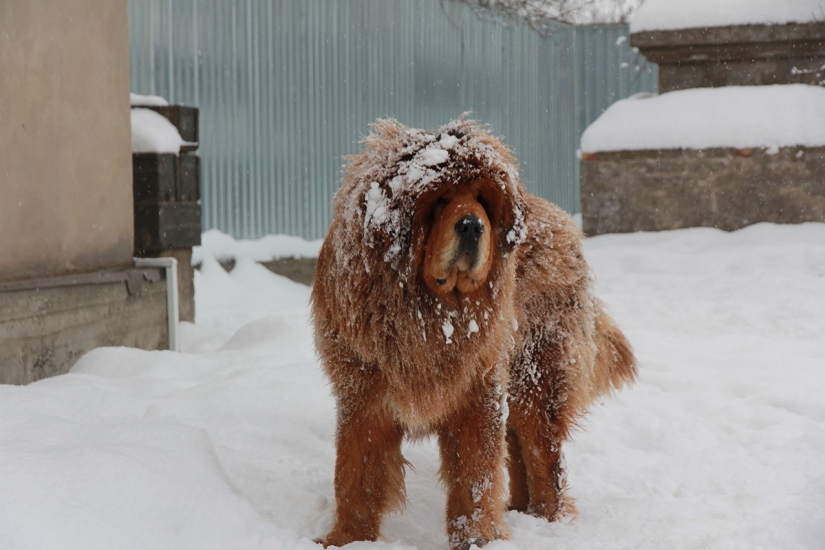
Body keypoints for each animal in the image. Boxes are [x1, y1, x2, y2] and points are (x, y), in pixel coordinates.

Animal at [310, 117, 636, 550]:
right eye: (440, 200)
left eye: (481, 199)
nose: (472, 224)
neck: (430, 315)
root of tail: (563, 220)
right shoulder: (363, 392)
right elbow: (355, 473)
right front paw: (348, 539)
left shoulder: (476, 392)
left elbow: (475, 474)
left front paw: (479, 538)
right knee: (517, 448)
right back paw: (520, 510)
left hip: (536, 378)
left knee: (542, 455)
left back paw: (548, 518)